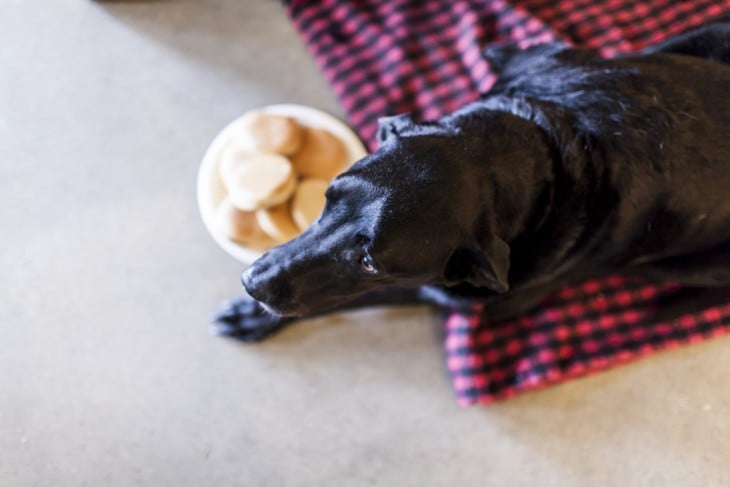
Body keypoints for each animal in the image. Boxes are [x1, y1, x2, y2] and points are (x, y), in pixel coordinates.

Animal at [215, 22, 728, 342]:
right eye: (327, 198)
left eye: (369, 263)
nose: (252, 283)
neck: (536, 143)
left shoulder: (459, 293)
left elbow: (352, 297)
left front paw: (254, 318)